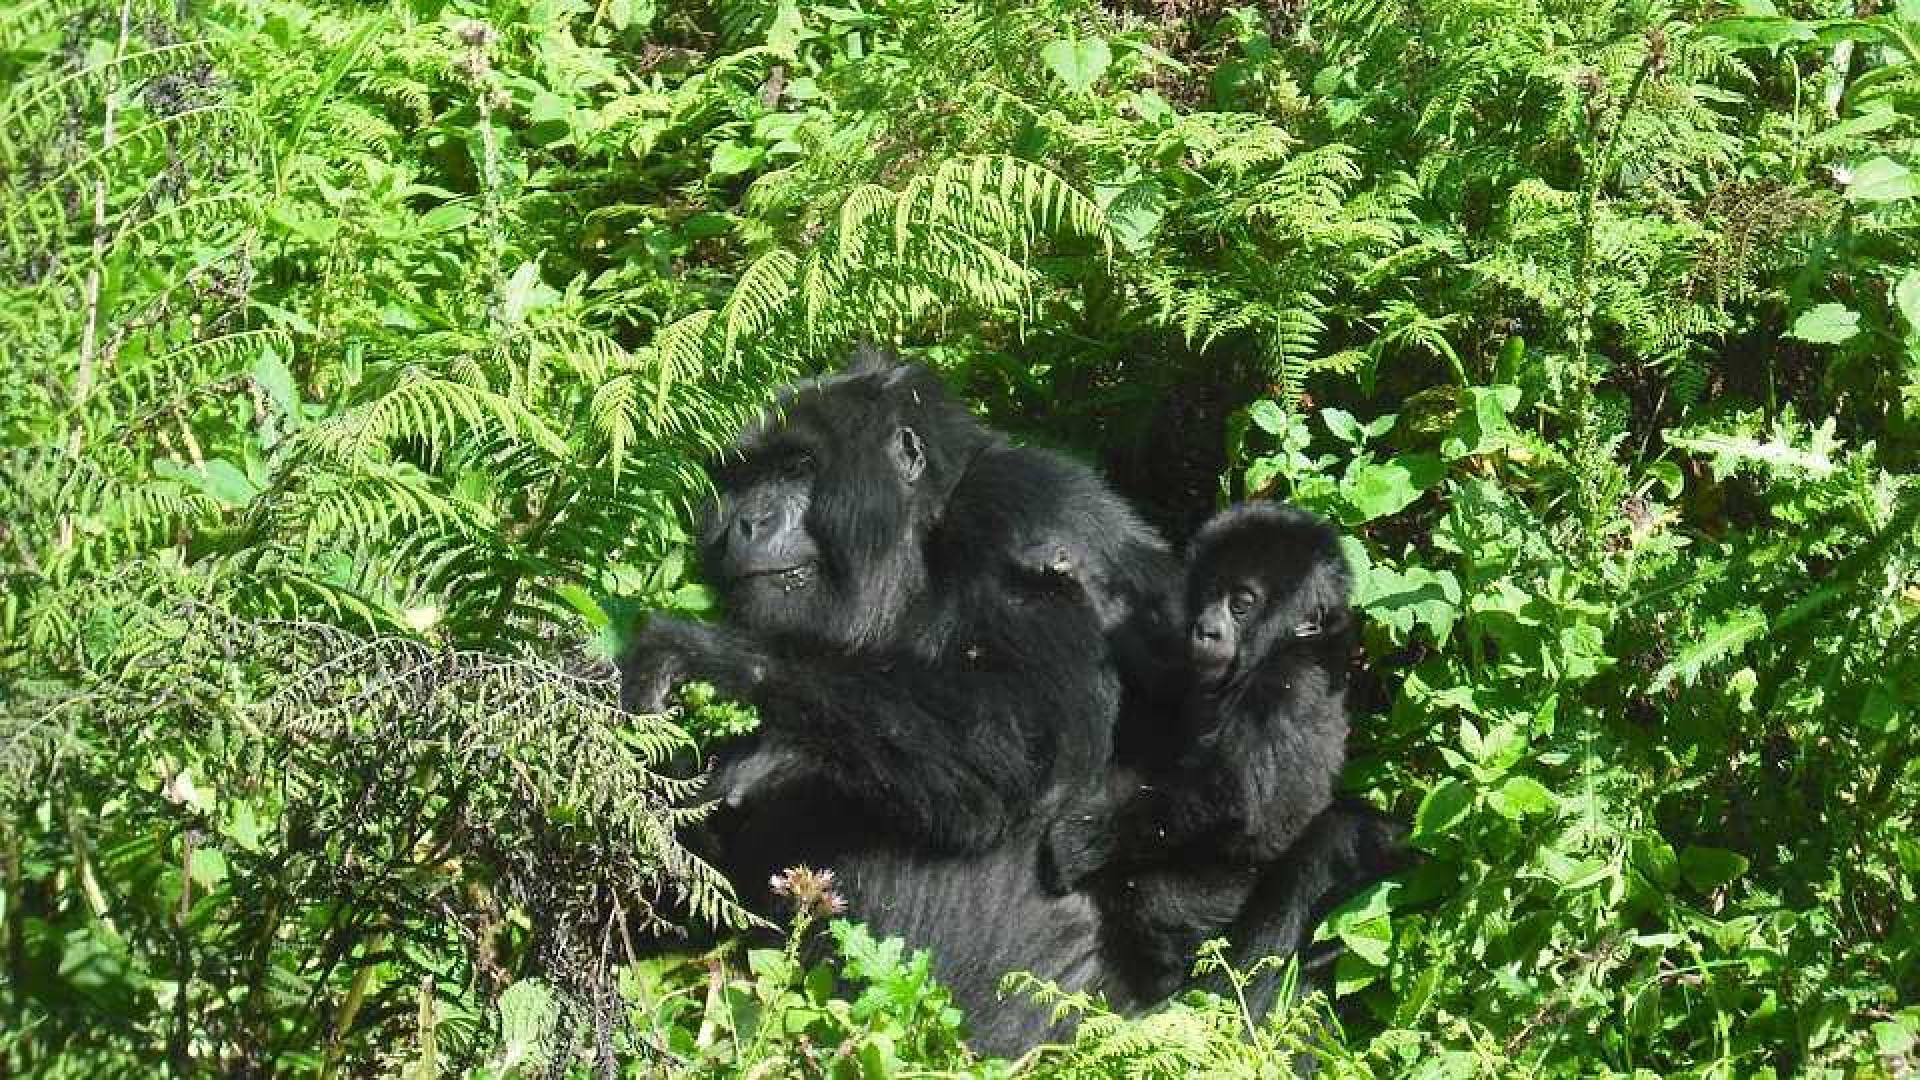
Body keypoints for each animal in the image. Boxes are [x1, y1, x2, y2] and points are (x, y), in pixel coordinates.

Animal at [622, 342, 1175, 1045]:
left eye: (799, 468)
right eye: (744, 481)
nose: (747, 523)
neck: (916, 546)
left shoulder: (1031, 519)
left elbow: (1019, 734)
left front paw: (721, 661)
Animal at [1052, 499, 1351, 999]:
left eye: (1241, 604)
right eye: (1210, 593)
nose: (1206, 630)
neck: (1288, 643)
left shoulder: (1286, 685)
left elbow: (1234, 797)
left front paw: (1084, 839)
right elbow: (1169, 682)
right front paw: (1090, 592)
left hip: (1233, 891)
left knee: (1149, 898)